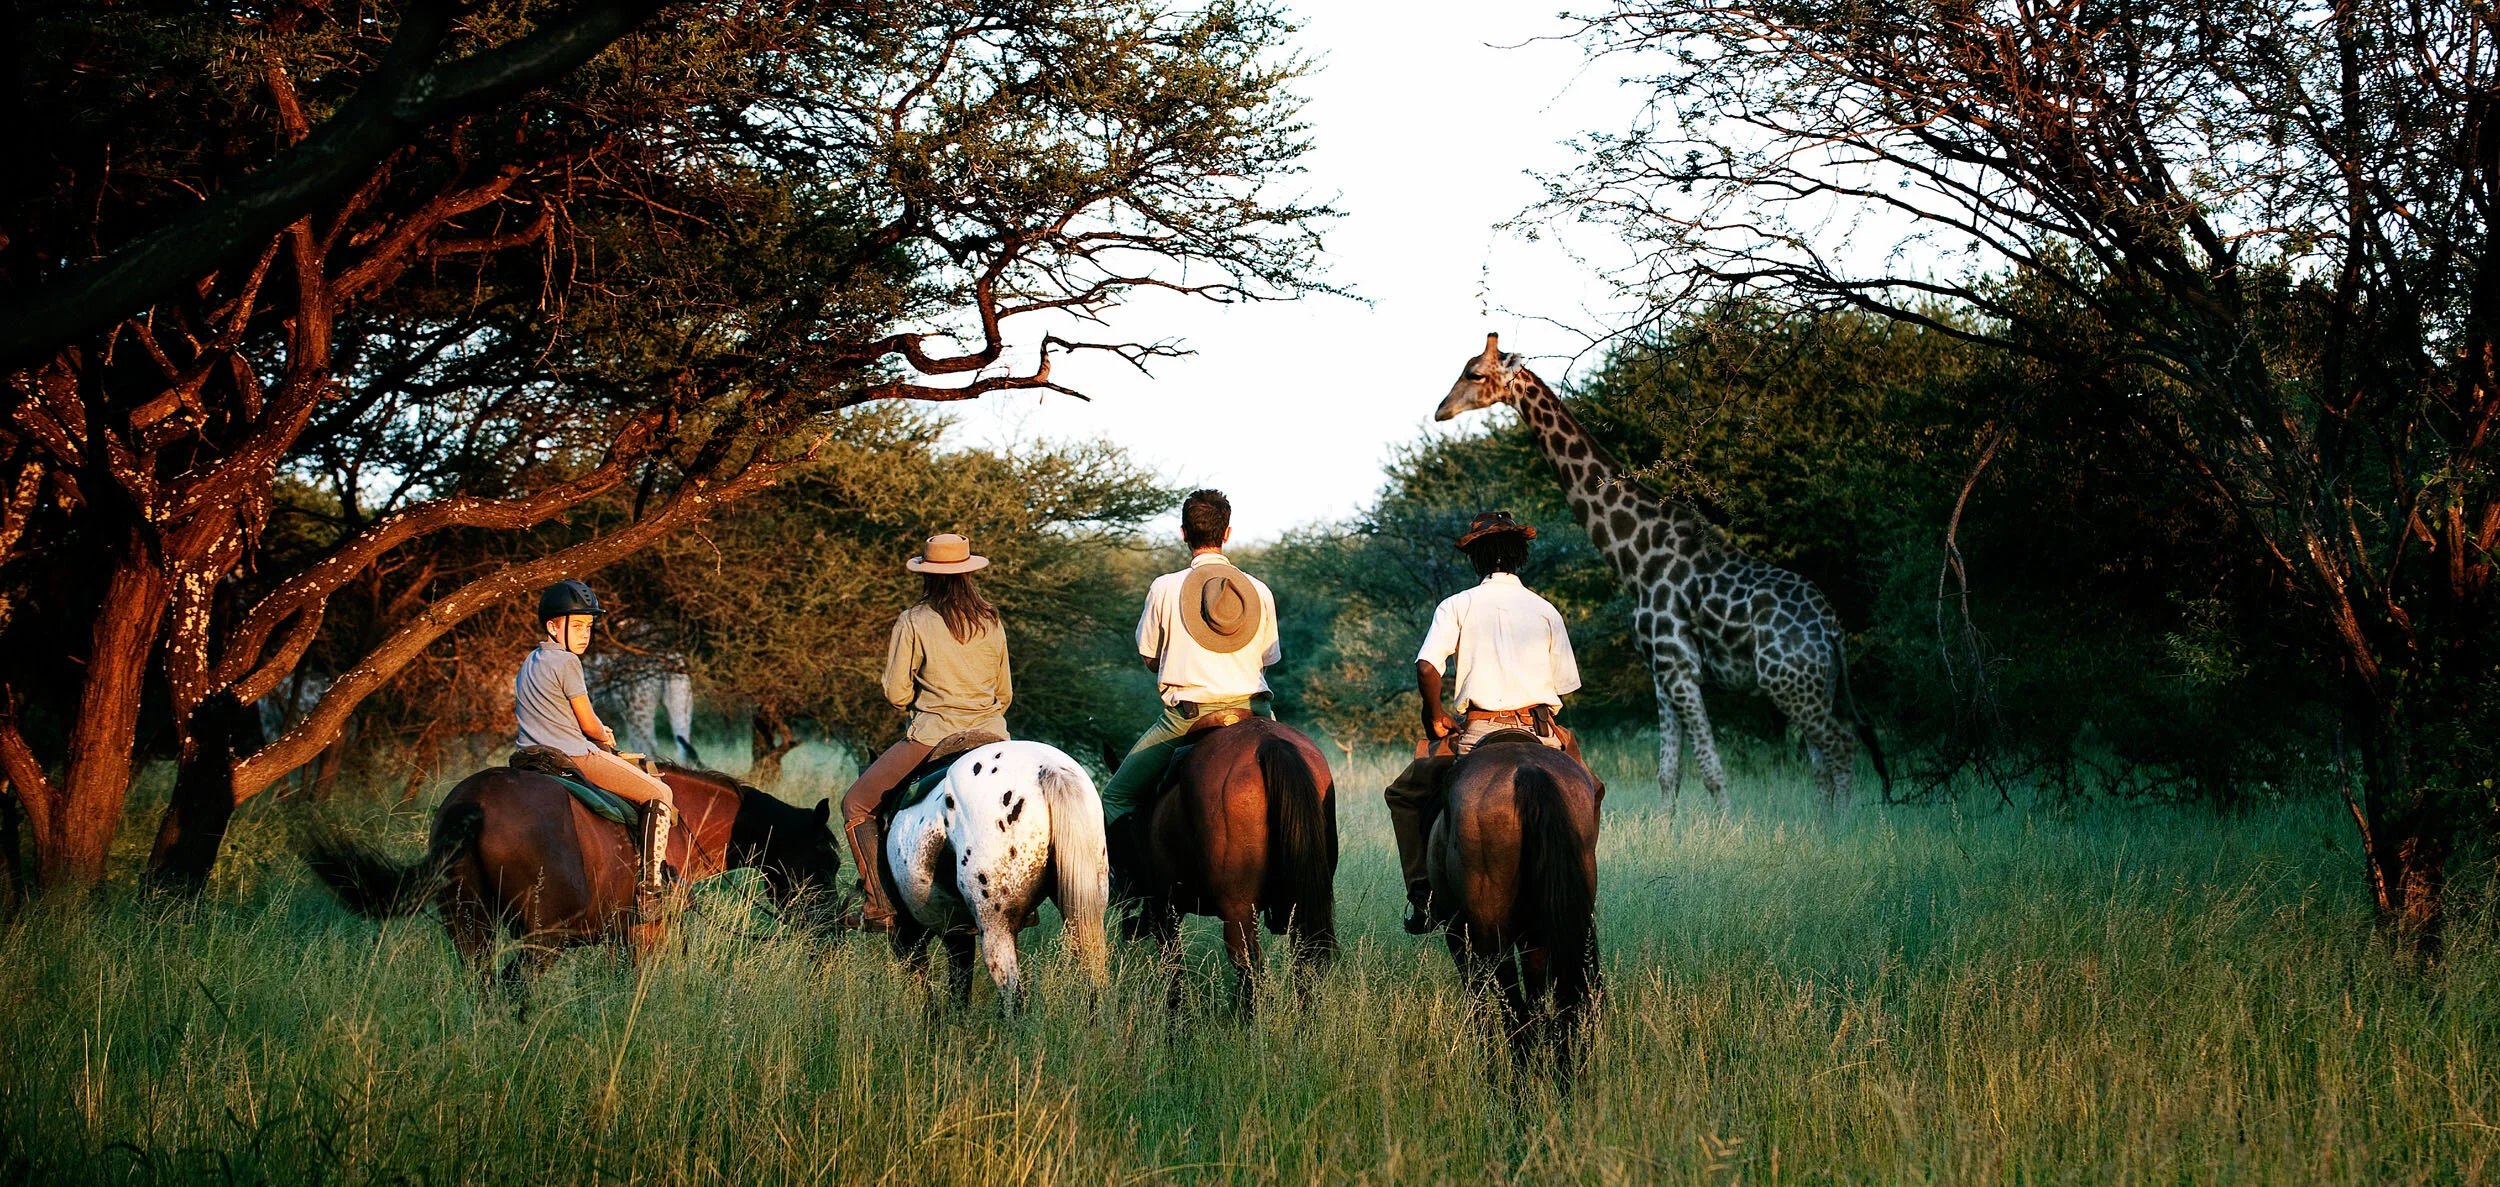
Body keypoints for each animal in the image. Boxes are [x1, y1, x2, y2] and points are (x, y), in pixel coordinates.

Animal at [1434, 334, 1888, 812]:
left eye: (1474, 373)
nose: (1441, 410)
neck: (1636, 558)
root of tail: (1832, 630)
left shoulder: (1679, 664)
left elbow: (1711, 769)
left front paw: (1728, 825)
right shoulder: (1661, 670)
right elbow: (1668, 774)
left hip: (1788, 680)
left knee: (1841, 745)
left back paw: (1844, 823)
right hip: (1813, 684)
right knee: (1823, 761)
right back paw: (1826, 822)